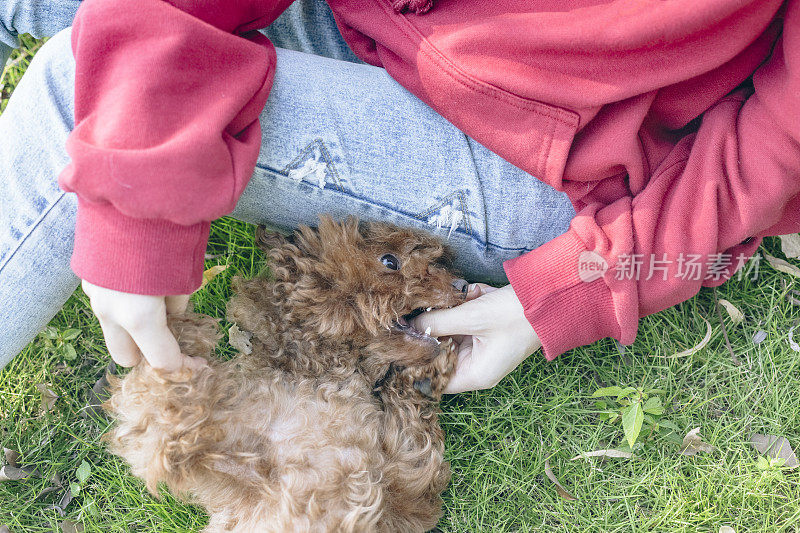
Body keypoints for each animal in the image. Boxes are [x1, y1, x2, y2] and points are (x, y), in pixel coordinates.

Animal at [104, 216, 468, 532]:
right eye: (390, 261)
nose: (463, 284)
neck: (323, 371)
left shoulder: (404, 485)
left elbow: (417, 437)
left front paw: (428, 374)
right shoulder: (205, 451)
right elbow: (156, 406)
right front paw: (176, 329)